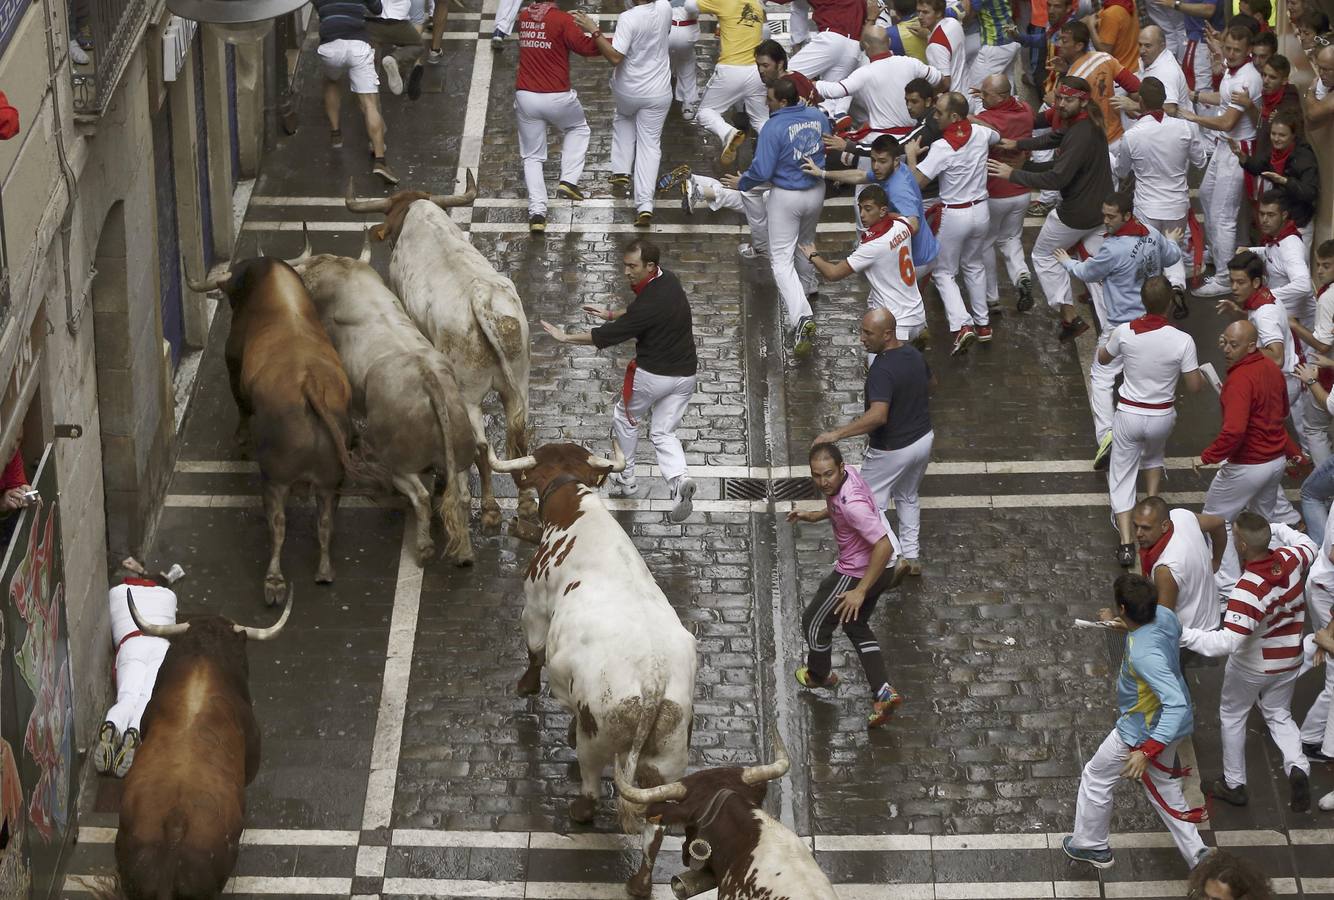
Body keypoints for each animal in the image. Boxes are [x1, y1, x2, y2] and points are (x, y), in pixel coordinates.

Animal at [188, 258, 365, 605]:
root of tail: (310, 385)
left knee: (278, 524)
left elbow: (242, 407)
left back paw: (274, 581)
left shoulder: (233, 360)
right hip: (331, 482)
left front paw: (240, 440)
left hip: (274, 480)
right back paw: (324, 570)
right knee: (326, 521)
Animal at [346, 174, 538, 541]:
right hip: (518, 383)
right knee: (518, 437)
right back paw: (523, 510)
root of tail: (480, 299)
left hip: (470, 394)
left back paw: (490, 510)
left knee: (481, 446)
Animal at [490, 442, 699, 896]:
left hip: (597, 739)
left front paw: (526, 686)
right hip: (669, 758)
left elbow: (534, 652)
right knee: (655, 828)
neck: (576, 507)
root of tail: (653, 679)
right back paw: (639, 883)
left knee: (589, 785)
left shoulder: (534, 607)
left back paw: (579, 809)